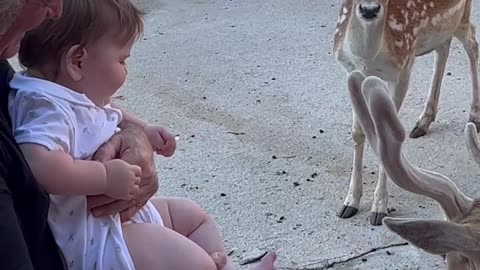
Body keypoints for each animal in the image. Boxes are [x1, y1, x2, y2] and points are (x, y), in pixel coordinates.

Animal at [334, 0, 480, 225]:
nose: (369, 10)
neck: (367, 57)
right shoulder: (351, 71)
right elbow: (358, 133)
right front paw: (350, 203)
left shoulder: (401, 71)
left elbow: (384, 137)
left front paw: (379, 208)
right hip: (442, 28)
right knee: (443, 48)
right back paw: (424, 121)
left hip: (461, 15)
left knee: (472, 41)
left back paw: (474, 116)